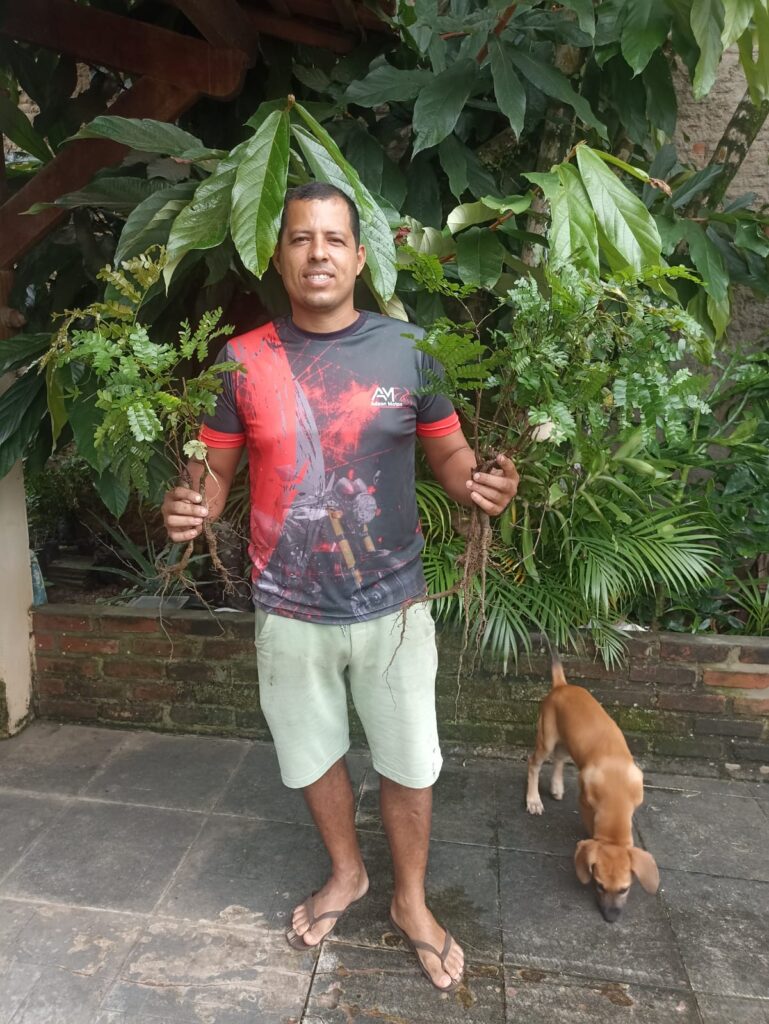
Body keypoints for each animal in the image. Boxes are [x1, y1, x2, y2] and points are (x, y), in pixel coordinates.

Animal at [526, 654, 659, 922]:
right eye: (599, 886)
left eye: (625, 889)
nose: (610, 918)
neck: (616, 790)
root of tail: (561, 685)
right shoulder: (586, 801)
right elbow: (590, 826)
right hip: (546, 737)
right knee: (534, 763)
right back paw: (533, 800)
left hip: (566, 741)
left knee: (559, 758)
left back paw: (556, 787)